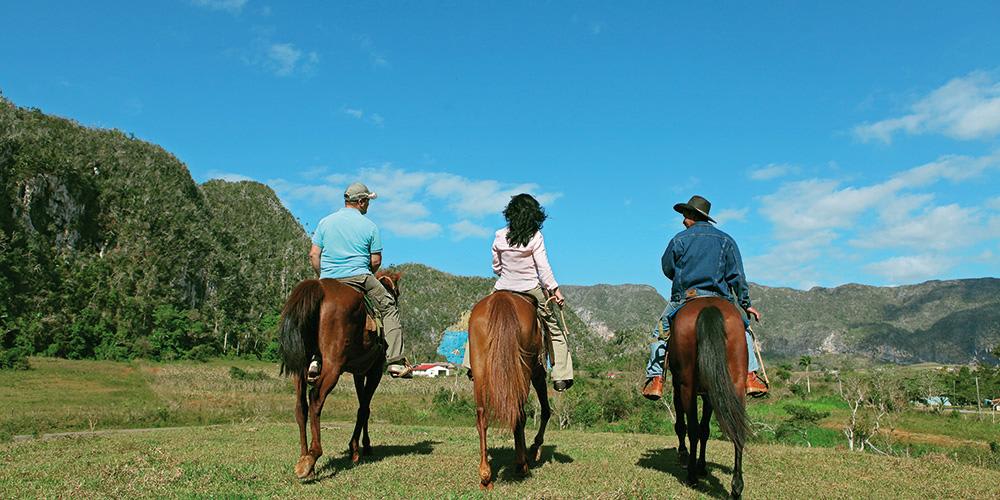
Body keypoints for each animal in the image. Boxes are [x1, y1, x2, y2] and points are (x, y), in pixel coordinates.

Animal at [276, 274, 400, 480]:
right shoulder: (374, 371)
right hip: (333, 365)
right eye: (395, 292)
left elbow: (363, 406)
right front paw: (357, 448)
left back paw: (304, 457)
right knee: (315, 398)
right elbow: (364, 409)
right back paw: (312, 456)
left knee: (301, 407)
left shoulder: (359, 373)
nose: (395, 300)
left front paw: (361, 446)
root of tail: (318, 286)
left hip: (301, 365)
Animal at [470, 292, 556, 490]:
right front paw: (534, 448)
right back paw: (521, 465)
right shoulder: (538, 373)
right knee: (520, 414)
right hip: (524, 370)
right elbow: (546, 410)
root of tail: (502, 298)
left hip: (479, 369)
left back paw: (485, 475)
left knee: (482, 416)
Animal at [672, 296, 752, 496]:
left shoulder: (678, 386)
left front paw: (685, 457)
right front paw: (702, 465)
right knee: (737, 427)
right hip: (736, 382)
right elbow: (705, 430)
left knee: (692, 429)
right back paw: (736, 487)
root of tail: (708, 306)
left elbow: (684, 425)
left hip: (687, 384)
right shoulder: (711, 393)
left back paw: (692, 476)